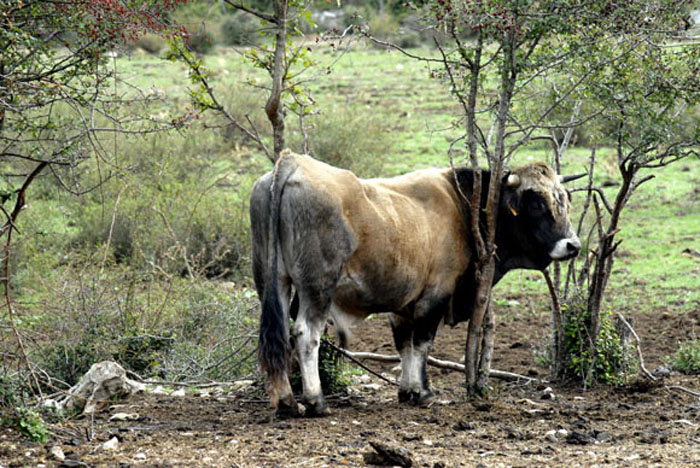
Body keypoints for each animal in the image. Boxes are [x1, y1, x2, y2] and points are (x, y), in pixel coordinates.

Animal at [250, 151, 580, 416]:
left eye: (564, 198)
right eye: (537, 203)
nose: (572, 245)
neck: (462, 205)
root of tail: (292, 162)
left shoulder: (403, 303)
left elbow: (404, 344)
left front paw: (407, 390)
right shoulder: (434, 295)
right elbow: (422, 342)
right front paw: (422, 392)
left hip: (274, 282)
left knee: (279, 334)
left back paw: (286, 401)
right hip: (317, 287)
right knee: (306, 334)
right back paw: (315, 400)